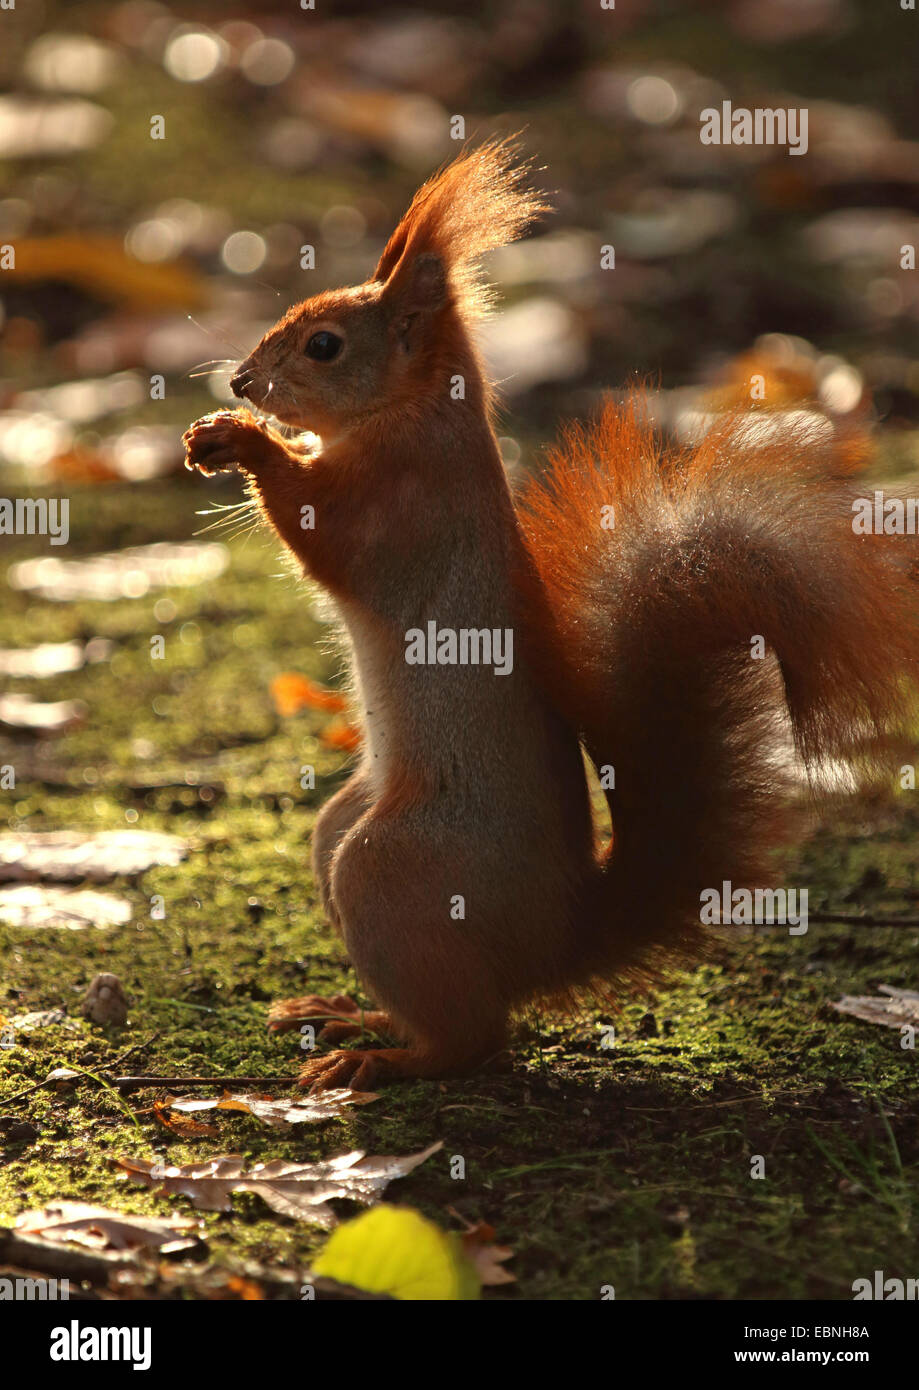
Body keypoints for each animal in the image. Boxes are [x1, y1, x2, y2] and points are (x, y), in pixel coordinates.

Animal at [180, 146, 917, 1089]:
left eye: (324, 344)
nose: (240, 382)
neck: (417, 413)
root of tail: (554, 942)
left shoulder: (400, 509)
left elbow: (326, 538)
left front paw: (247, 441)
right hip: (339, 830)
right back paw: (346, 1013)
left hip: (390, 870)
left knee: (472, 1039)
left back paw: (379, 1061)